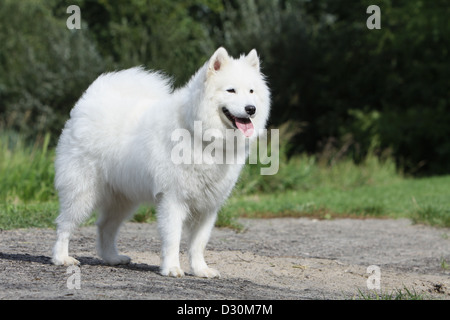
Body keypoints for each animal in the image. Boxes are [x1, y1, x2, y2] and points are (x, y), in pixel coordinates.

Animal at [52, 47, 270, 278]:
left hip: (123, 199)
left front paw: (200, 270)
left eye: (251, 91)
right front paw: (172, 268)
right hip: (82, 192)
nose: (251, 109)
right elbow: (173, 238)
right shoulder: (173, 200)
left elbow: (198, 243)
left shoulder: (208, 206)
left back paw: (112, 257)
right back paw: (61, 258)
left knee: (105, 226)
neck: (199, 133)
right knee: (64, 225)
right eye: (231, 90)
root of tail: (88, 101)